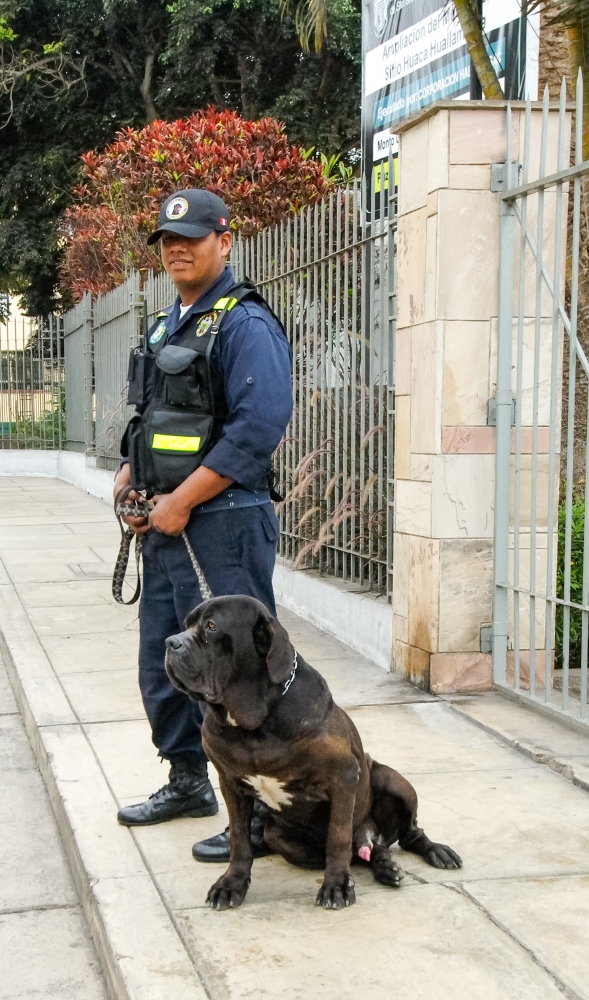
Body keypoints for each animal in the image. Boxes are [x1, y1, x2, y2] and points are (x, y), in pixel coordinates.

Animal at [163, 592, 462, 916]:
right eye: (186, 624)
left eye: (212, 627)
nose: (170, 642)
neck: (254, 722)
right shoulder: (231, 783)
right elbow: (239, 840)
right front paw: (232, 885)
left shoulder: (343, 776)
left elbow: (338, 837)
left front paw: (336, 887)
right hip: (278, 836)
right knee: (364, 852)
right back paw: (383, 866)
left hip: (394, 782)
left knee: (405, 835)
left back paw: (434, 852)